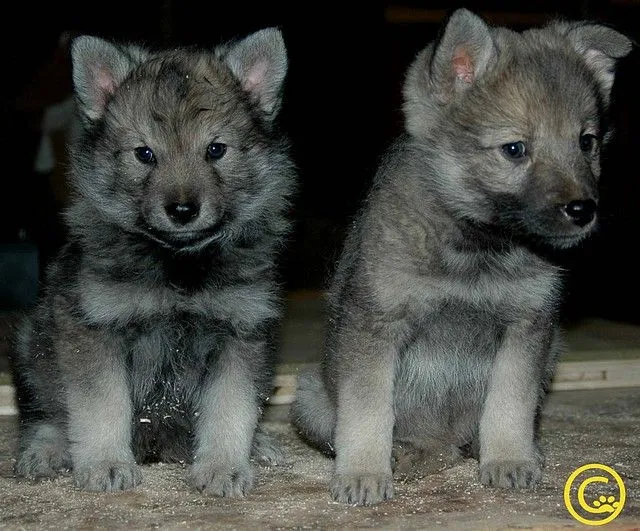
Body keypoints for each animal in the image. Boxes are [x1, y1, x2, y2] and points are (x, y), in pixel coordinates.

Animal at [10, 27, 296, 496]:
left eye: (215, 150)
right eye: (145, 154)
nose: (182, 210)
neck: (179, 263)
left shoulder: (240, 334)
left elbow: (231, 410)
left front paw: (223, 466)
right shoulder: (97, 332)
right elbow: (101, 408)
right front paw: (107, 464)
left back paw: (260, 445)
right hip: (30, 346)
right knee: (46, 415)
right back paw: (45, 452)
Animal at [292, 8, 632, 508]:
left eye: (586, 141)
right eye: (515, 149)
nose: (583, 210)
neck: (476, 247)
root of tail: (443, 444)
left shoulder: (526, 329)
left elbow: (509, 405)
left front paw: (508, 458)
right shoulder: (376, 328)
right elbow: (367, 414)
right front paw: (363, 474)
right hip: (311, 395)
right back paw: (407, 452)